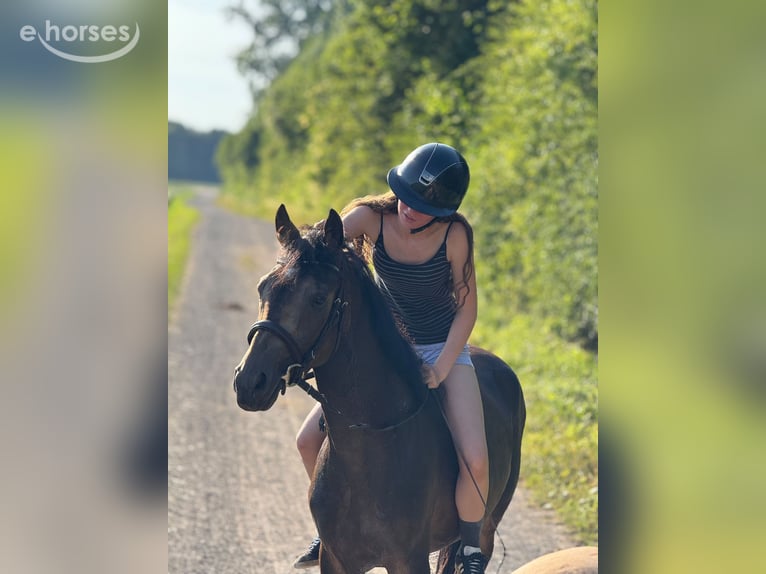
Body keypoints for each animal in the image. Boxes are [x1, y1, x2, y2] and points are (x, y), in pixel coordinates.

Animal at [233, 205, 526, 574]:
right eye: (263, 288)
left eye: (318, 299)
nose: (249, 382)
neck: (370, 448)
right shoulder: (337, 559)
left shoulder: (409, 560)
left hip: (488, 524)